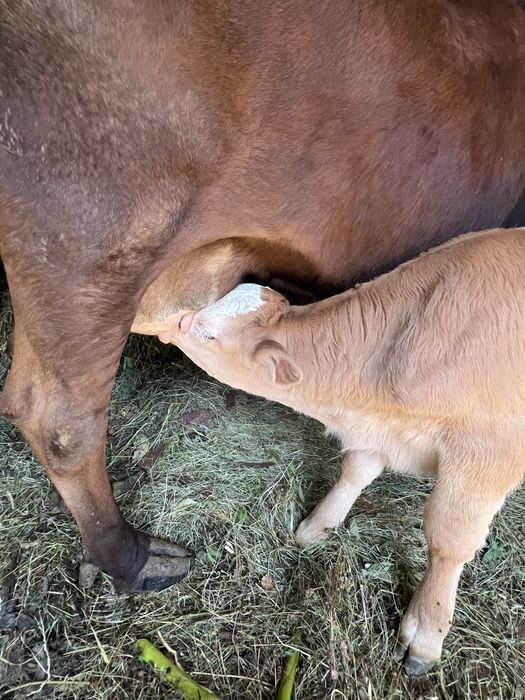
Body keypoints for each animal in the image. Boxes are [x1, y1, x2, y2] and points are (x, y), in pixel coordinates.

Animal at [160, 227, 525, 675]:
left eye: (208, 332)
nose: (172, 321)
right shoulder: (377, 433)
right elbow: (355, 472)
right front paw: (317, 526)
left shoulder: (489, 451)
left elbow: (449, 538)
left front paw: (426, 632)